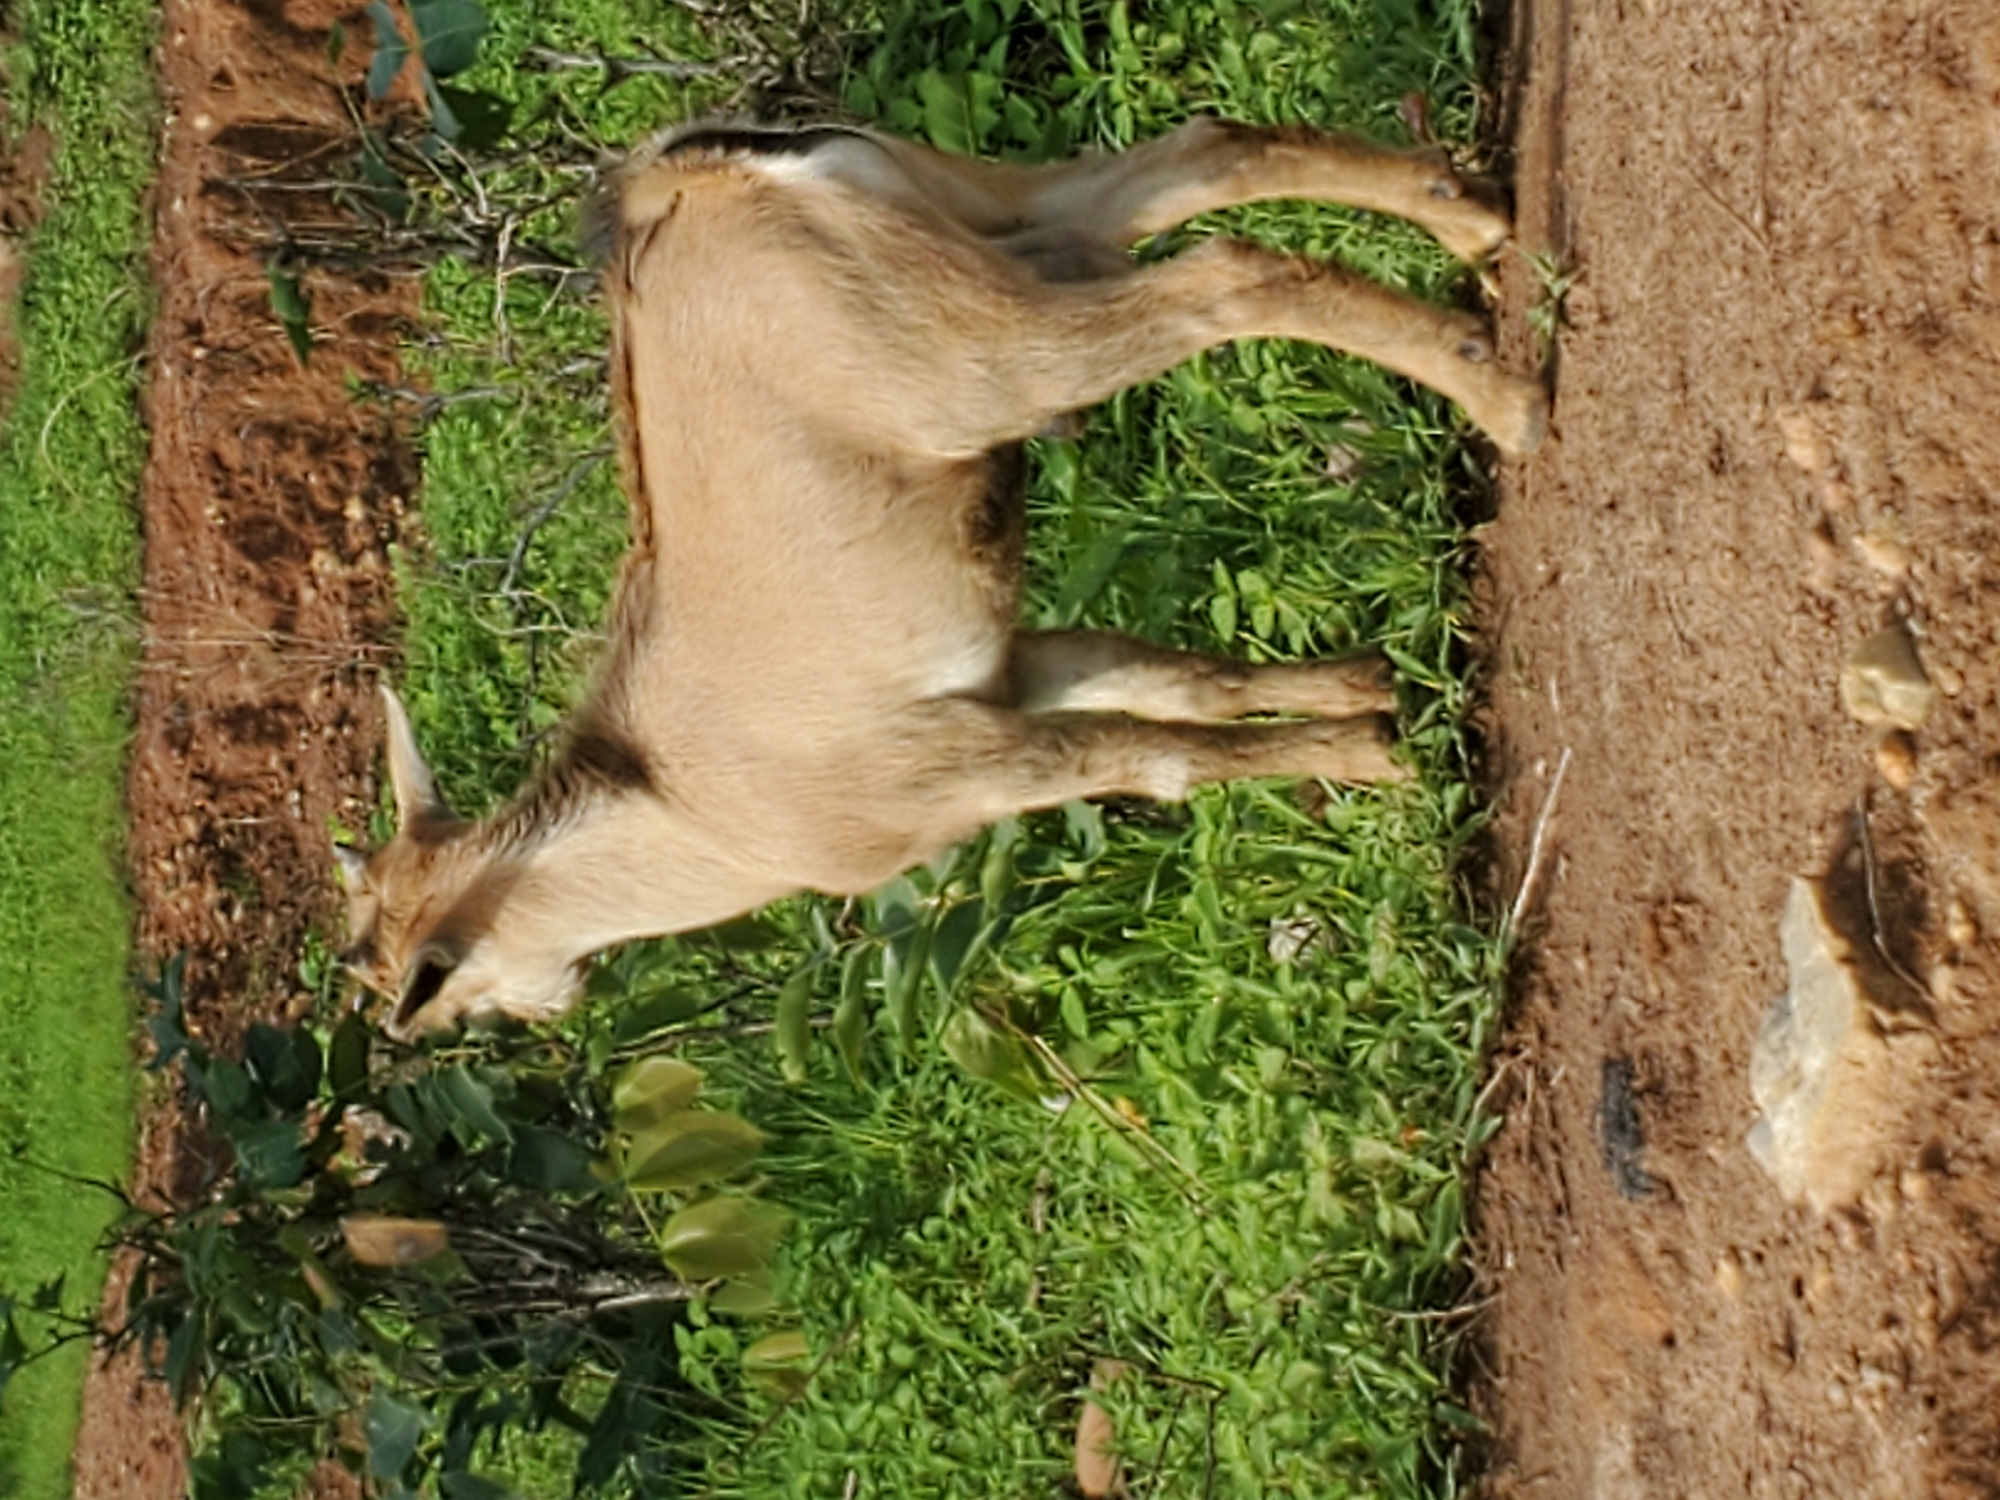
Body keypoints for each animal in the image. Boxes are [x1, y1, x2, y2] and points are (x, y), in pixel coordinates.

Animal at [337, 116, 1547, 1038]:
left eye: (446, 995)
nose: (541, 1016)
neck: (691, 812)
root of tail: (686, 178)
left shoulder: (964, 768)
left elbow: (1153, 758)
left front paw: (1367, 757)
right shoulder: (1014, 669)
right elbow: (1179, 684)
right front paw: (1370, 694)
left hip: (991, 356)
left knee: (1224, 276)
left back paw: (1506, 398)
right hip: (999, 221)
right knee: (1200, 155)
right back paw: (1477, 223)